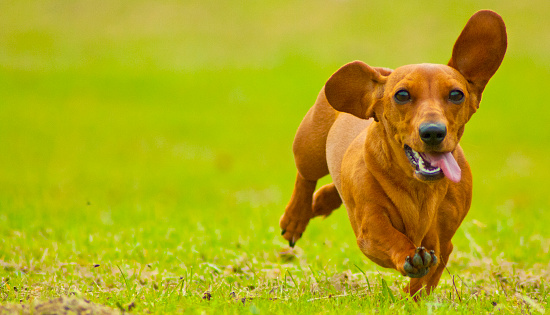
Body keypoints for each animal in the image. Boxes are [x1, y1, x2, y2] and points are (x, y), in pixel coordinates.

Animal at [280, 10, 508, 298]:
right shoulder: (370, 229)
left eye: (457, 94)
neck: (419, 190)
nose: (433, 132)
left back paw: (322, 201)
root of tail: (379, 73)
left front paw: (411, 299)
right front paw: (410, 256)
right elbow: (391, 237)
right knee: (305, 177)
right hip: (309, 148)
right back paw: (296, 217)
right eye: (402, 95)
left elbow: (427, 278)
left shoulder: (443, 244)